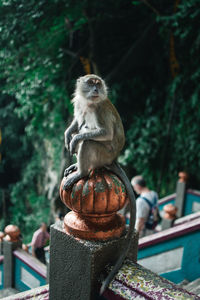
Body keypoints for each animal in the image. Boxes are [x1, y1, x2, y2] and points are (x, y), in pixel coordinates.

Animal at [63, 74, 136, 296]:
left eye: (98, 84)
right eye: (91, 83)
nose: (96, 90)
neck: (89, 102)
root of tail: (112, 160)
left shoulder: (98, 110)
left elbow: (104, 132)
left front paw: (76, 138)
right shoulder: (79, 104)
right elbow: (76, 121)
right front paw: (68, 133)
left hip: (103, 154)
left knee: (89, 141)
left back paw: (81, 172)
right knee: (82, 127)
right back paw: (75, 166)